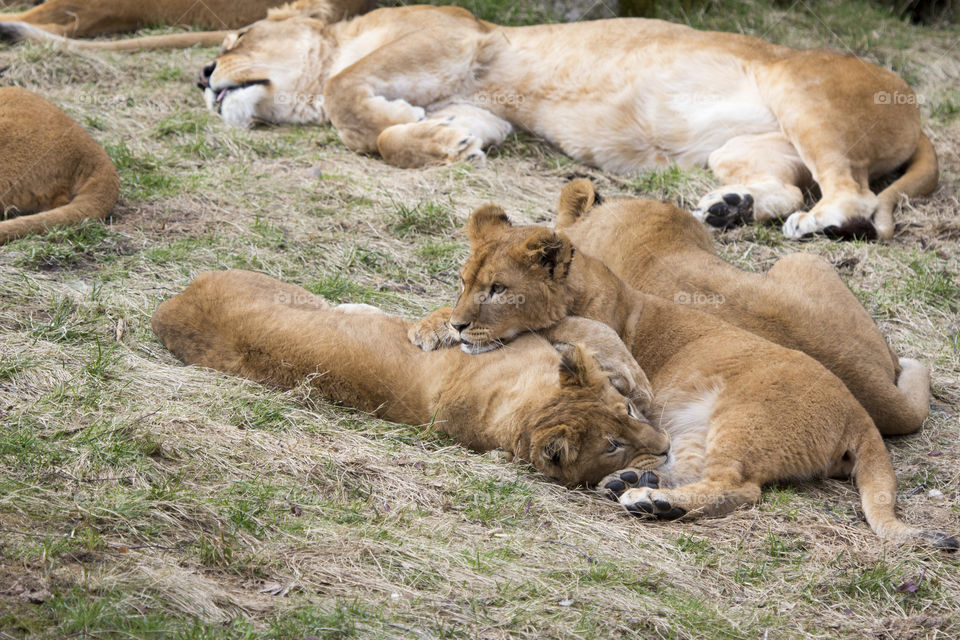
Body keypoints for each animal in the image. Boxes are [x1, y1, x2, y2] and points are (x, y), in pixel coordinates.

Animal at [151, 269, 670, 487]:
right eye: (611, 445)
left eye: (625, 414)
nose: (666, 449)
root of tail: (172, 305)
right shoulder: (514, 340)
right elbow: (576, 328)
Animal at [183, 5, 937, 240]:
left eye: (238, 35)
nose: (201, 74)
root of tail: (920, 115)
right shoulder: (477, 100)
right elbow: (397, 136)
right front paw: (446, 144)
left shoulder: (457, 33)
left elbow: (348, 99)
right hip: (747, 145)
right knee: (781, 183)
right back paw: (728, 209)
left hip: (803, 96)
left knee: (851, 194)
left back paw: (820, 222)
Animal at [407, 206, 957, 548]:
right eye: (464, 282)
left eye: (499, 289)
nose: (461, 325)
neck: (585, 284)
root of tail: (858, 414)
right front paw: (431, 327)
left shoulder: (592, 325)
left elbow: (581, 333)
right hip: (695, 428)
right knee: (693, 467)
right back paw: (635, 481)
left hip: (744, 417)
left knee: (739, 488)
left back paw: (650, 500)